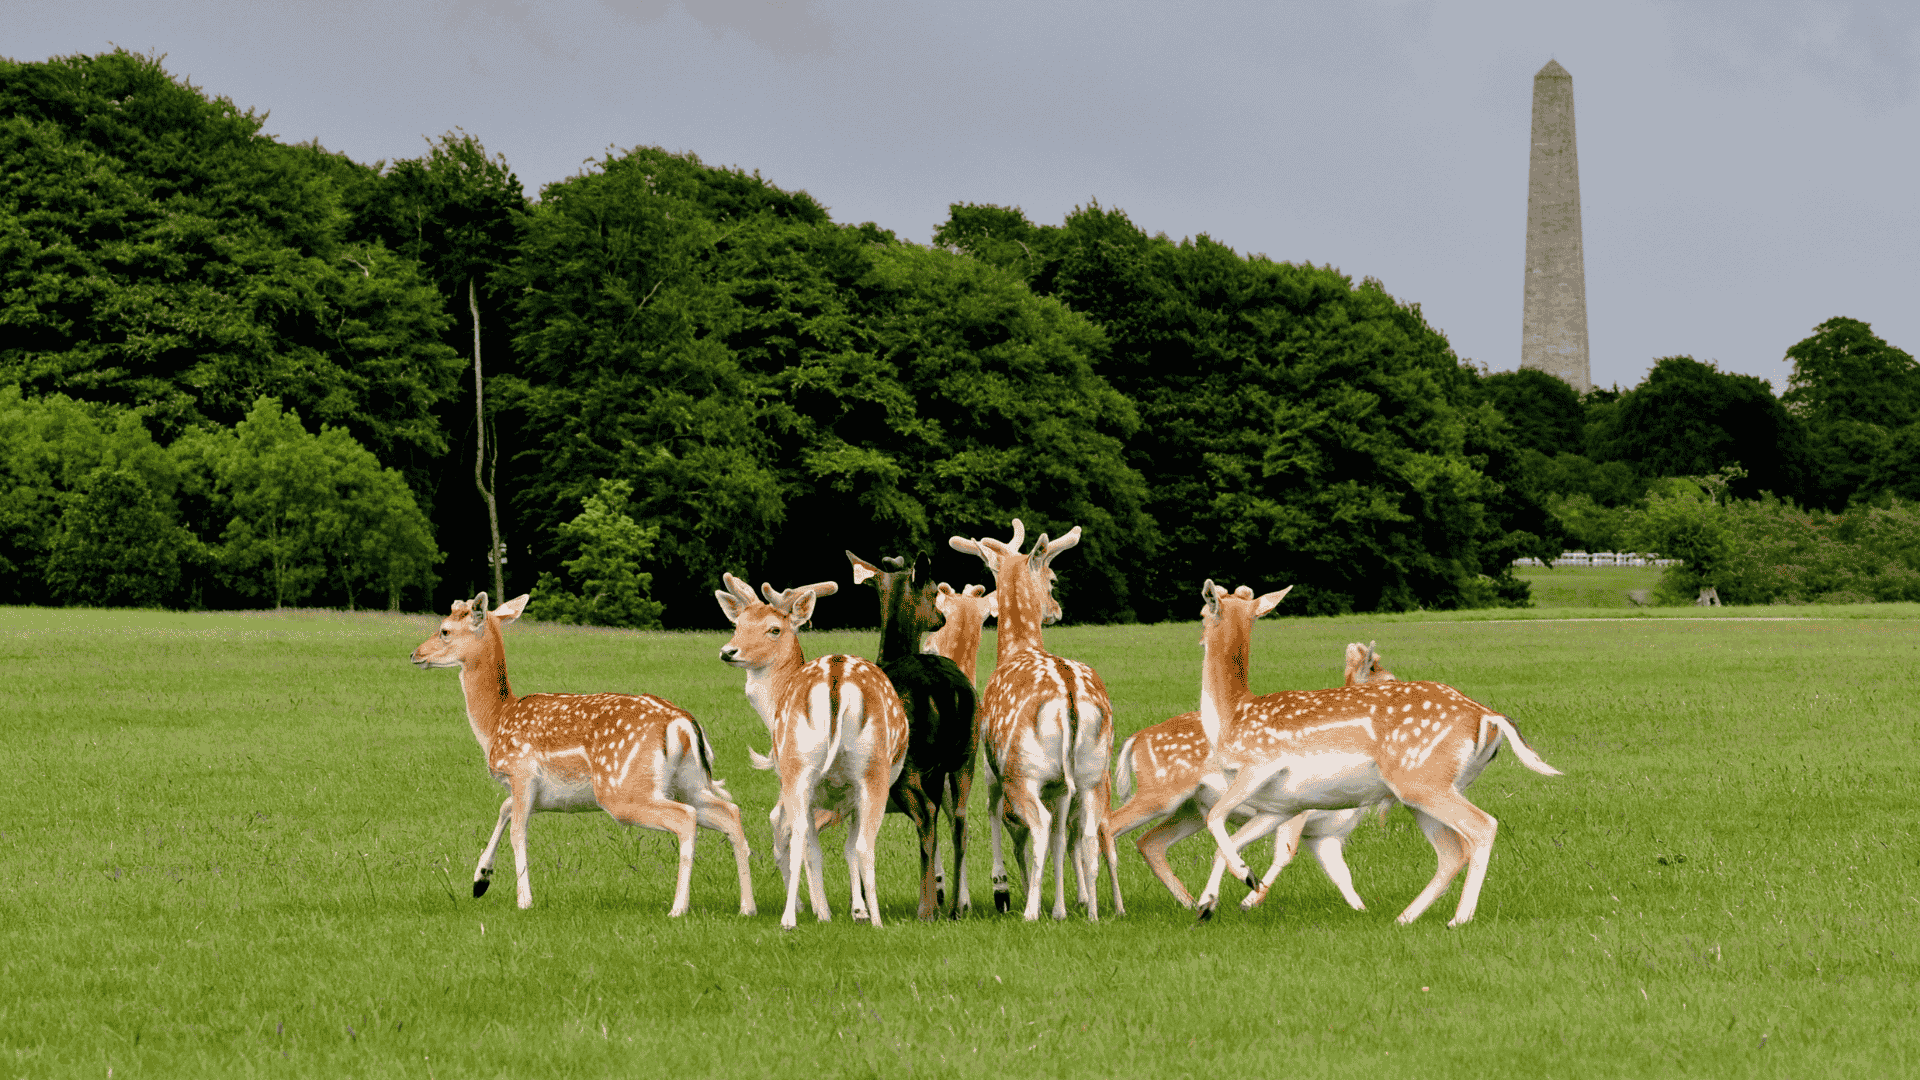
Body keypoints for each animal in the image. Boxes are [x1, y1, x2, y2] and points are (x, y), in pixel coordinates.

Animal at [408, 592, 755, 917]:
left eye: (445, 630)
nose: (414, 654)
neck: (496, 722)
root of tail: (681, 723)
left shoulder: (520, 771)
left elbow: (518, 830)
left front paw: (524, 900)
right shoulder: (541, 792)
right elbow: (504, 810)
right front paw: (480, 880)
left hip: (622, 788)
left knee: (685, 818)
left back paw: (678, 908)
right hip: (688, 782)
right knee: (730, 813)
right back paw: (747, 907)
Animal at [715, 574, 908, 929]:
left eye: (774, 629)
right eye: (738, 624)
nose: (728, 651)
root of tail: (837, 676)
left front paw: (829, 909)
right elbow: (834, 847)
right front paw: (845, 910)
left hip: (806, 768)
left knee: (804, 835)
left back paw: (802, 916)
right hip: (867, 771)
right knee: (857, 843)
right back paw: (861, 919)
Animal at [845, 552, 979, 919]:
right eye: (935, 592)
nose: (941, 618)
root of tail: (948, 690)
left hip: (907, 765)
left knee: (927, 817)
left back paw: (926, 908)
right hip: (967, 755)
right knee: (959, 819)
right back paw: (957, 907)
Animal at [949, 519, 1119, 921]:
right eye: (1054, 579)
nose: (1056, 608)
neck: (1018, 648)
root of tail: (1069, 694)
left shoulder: (990, 767)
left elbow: (992, 813)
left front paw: (1003, 889)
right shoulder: (1061, 787)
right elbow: (1061, 840)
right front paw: (1060, 908)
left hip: (1023, 770)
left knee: (1040, 825)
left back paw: (1029, 911)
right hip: (1092, 775)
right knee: (1088, 836)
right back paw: (1092, 914)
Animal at [1192, 581, 1563, 925]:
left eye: (1202, 612)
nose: (1198, 640)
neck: (1231, 717)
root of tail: (1488, 716)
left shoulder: (1258, 765)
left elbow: (1215, 819)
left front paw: (1245, 879)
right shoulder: (1279, 806)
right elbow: (1227, 843)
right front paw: (1206, 904)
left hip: (1422, 779)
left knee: (1482, 826)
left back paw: (1458, 919)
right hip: (1426, 790)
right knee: (1451, 852)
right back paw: (1405, 917)